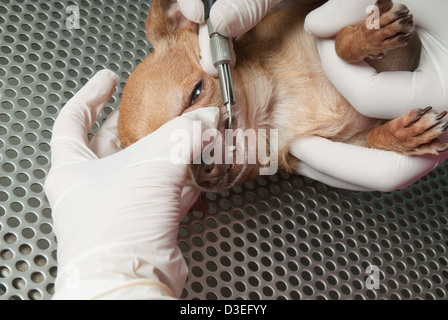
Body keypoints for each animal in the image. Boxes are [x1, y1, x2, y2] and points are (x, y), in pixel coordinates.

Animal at [116, 0, 448, 191]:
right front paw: (401, 134)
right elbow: (373, 136)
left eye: (196, 93)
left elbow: (340, 46)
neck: (278, 109)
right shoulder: (352, 144)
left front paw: (368, 34)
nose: (203, 177)